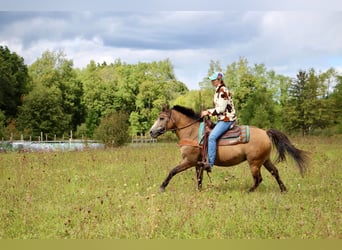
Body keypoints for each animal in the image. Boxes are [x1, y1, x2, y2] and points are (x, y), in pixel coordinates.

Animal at [148, 104, 308, 192]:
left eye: (161, 118)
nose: (151, 132)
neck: (193, 133)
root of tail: (265, 132)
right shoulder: (198, 163)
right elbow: (199, 179)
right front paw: (199, 191)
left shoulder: (189, 161)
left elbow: (172, 171)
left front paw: (162, 187)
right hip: (264, 160)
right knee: (275, 172)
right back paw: (283, 190)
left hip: (254, 163)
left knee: (258, 179)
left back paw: (248, 191)